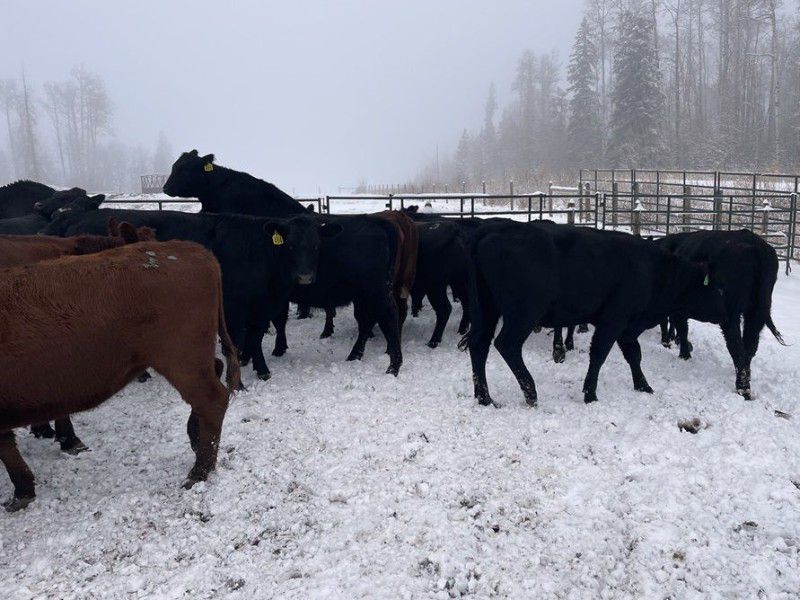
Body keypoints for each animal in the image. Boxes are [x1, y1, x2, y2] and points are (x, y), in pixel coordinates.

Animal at [0, 241, 240, 511]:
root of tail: (195, 250)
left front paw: (20, 493)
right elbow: (7, 446)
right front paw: (23, 491)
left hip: (182, 361)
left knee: (212, 399)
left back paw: (199, 471)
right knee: (215, 373)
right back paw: (195, 438)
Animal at [461, 221, 707, 406]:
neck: (652, 270)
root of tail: (495, 228)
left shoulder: (626, 327)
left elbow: (634, 354)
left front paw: (643, 386)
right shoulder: (613, 321)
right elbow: (599, 355)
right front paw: (591, 394)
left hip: (485, 308)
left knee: (478, 343)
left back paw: (484, 397)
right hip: (523, 313)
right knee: (506, 344)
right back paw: (531, 393)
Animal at [655, 229, 786, 399]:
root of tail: (754, 246)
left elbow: (681, 327)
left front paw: (683, 354)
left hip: (731, 312)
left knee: (735, 345)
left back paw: (743, 389)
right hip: (757, 310)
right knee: (749, 347)